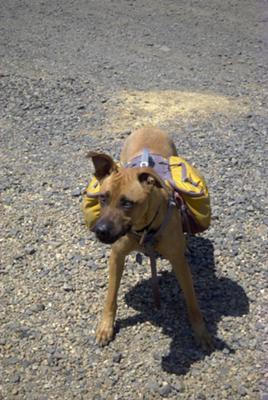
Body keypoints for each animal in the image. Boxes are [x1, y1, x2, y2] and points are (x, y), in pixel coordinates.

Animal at [85, 127, 211, 350]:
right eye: (103, 198)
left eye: (127, 203)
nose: (99, 230)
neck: (143, 227)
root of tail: (148, 126)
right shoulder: (117, 256)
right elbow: (111, 297)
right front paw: (106, 326)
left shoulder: (179, 262)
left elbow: (192, 301)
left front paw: (201, 331)